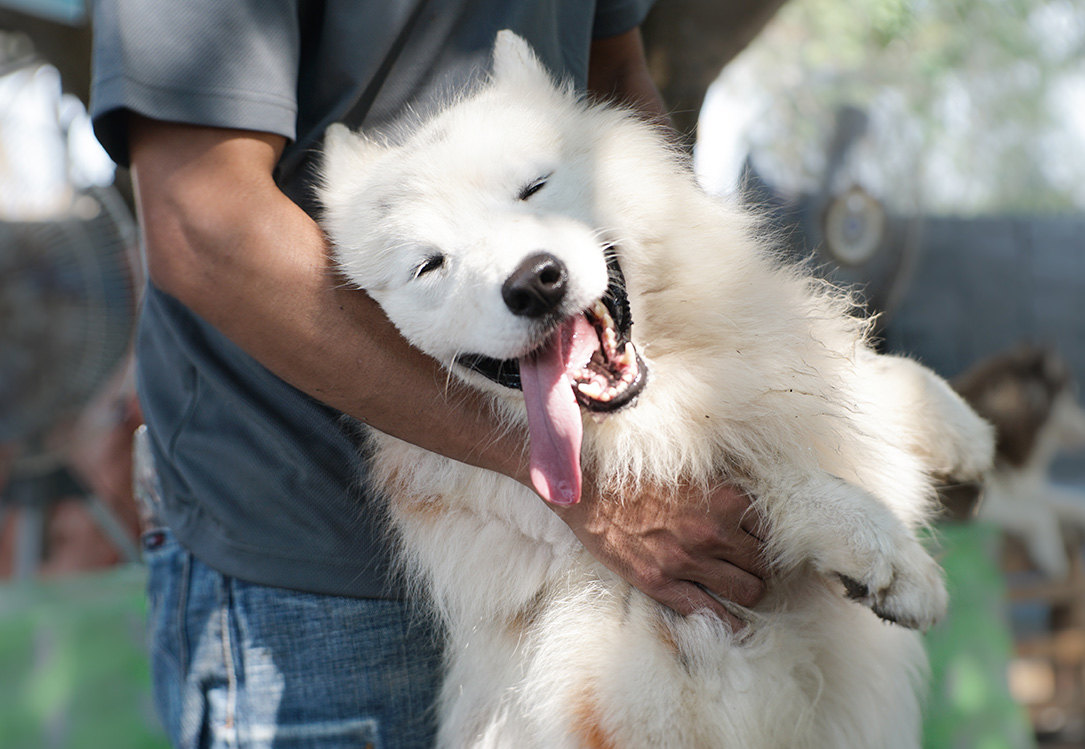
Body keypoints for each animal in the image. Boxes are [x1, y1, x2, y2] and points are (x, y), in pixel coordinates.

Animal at [318, 30, 993, 746]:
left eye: (534, 187)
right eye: (429, 265)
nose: (535, 282)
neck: (668, 403)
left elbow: (849, 377)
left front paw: (959, 431)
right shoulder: (658, 672)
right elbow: (771, 481)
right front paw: (892, 559)